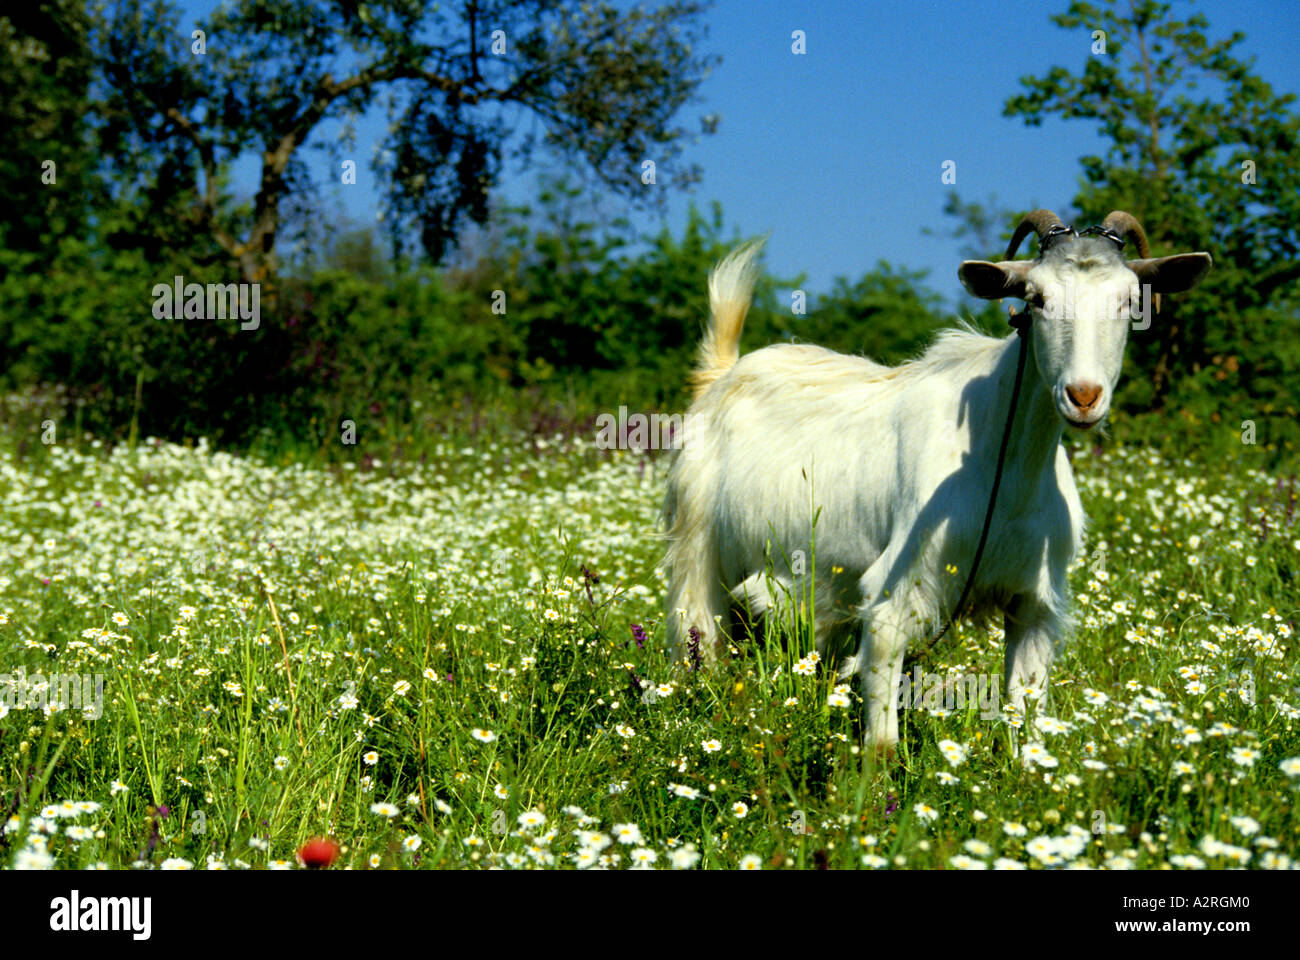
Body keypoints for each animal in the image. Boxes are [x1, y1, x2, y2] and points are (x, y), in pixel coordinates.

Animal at [665, 210, 1211, 754]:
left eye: (1130, 300)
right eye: (1036, 298)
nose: (1083, 396)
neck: (1004, 467)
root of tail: (720, 377)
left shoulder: (1033, 605)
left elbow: (1026, 720)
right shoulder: (894, 594)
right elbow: (883, 738)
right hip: (696, 552)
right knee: (697, 637)